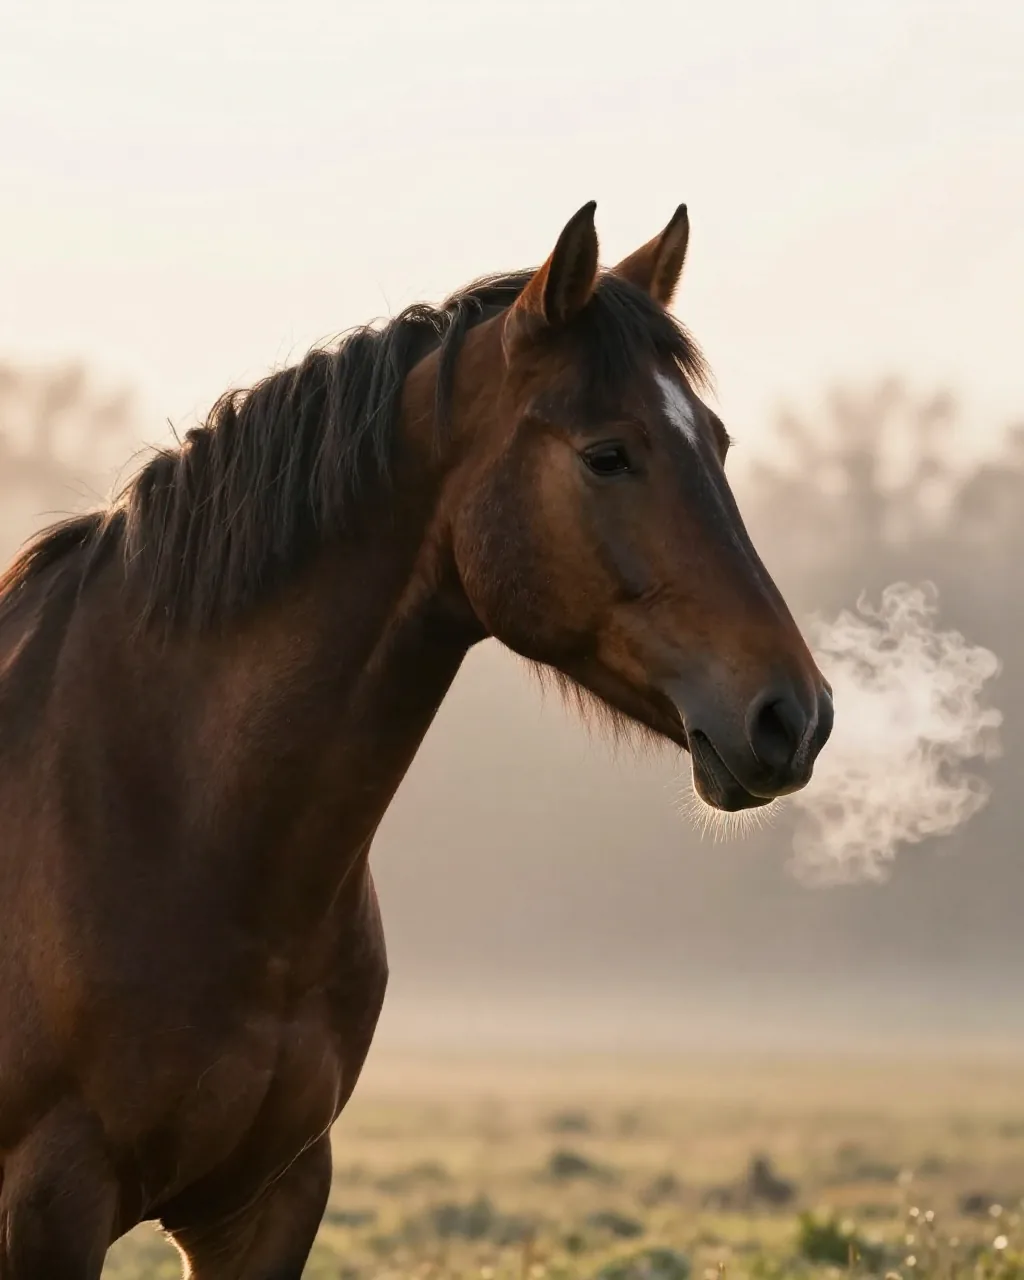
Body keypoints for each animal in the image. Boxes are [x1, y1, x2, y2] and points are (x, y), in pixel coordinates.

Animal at [0, 201, 833, 1278]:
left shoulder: (266, 1201)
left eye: (720, 446)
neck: (159, 815)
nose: (793, 713)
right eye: (606, 453)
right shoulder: (49, 1202)